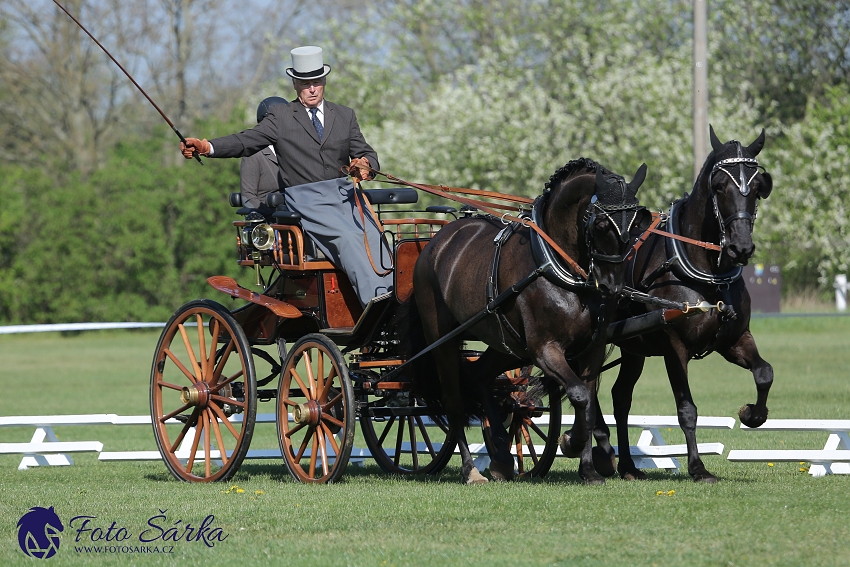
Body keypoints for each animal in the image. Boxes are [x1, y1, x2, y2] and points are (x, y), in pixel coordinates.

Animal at [408, 159, 644, 484]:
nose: (614, 288)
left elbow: (587, 404)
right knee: (454, 402)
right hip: (442, 341)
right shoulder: (545, 349)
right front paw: (571, 444)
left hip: (506, 345)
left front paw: (589, 468)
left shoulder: (590, 350)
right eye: (601, 224)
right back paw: (472, 470)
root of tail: (437, 242)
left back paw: (501, 455)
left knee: (479, 377)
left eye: (635, 223)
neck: (557, 266)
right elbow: (580, 395)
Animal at [588, 129, 776, 484]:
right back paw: (601, 451)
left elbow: (764, 372)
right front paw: (698, 467)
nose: (741, 247)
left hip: (633, 348)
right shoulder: (675, 347)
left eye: (759, 186)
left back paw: (628, 466)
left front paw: (752, 414)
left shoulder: (733, 339)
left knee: (620, 397)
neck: (707, 272)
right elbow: (687, 409)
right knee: (588, 388)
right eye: (719, 185)